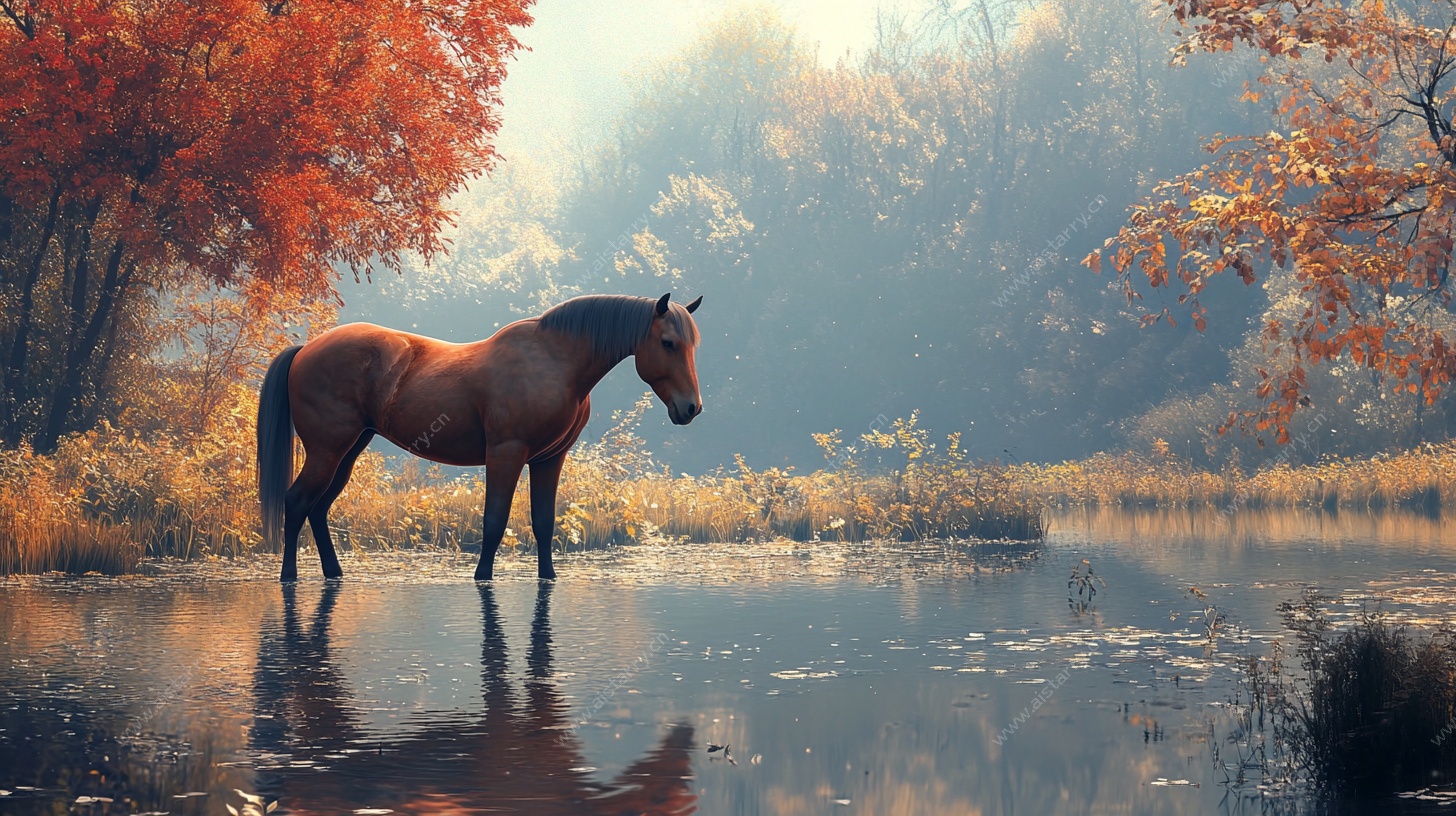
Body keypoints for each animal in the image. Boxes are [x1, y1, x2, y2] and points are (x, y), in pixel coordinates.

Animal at [257, 293, 703, 583]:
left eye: (692, 345)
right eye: (668, 343)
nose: (691, 408)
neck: (554, 361)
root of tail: (306, 349)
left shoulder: (549, 459)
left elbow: (544, 523)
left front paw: (548, 577)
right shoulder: (506, 454)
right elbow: (494, 521)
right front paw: (482, 576)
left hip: (349, 451)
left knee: (318, 508)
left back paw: (334, 573)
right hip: (327, 451)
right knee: (297, 502)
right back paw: (289, 577)